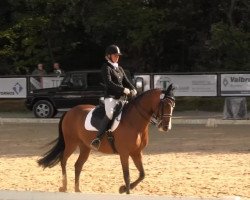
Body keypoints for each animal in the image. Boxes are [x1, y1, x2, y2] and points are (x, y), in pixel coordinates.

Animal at [37, 84, 174, 194]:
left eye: (173, 105)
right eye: (164, 104)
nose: (166, 127)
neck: (134, 122)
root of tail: (70, 111)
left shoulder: (136, 152)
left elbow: (142, 174)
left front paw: (123, 189)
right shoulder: (124, 153)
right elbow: (127, 175)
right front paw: (126, 191)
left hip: (85, 146)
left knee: (78, 165)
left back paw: (77, 189)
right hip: (71, 143)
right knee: (63, 160)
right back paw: (64, 187)